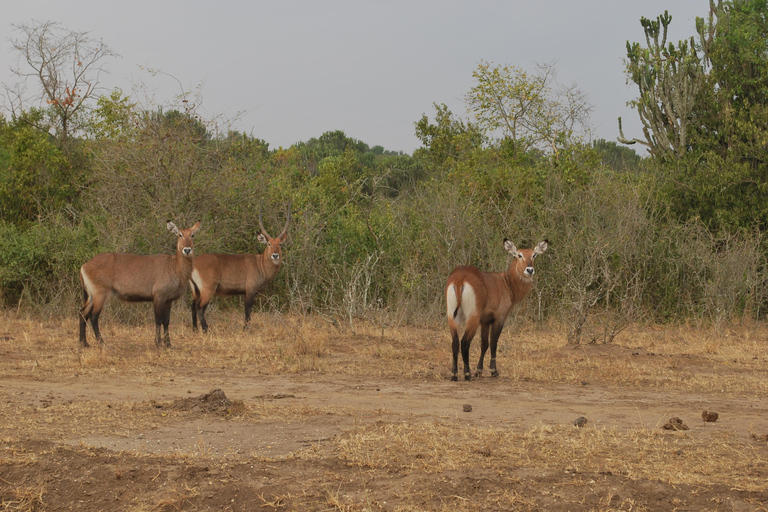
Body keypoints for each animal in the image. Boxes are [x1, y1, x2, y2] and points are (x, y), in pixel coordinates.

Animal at [79, 220, 201, 348]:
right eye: (179, 234)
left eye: (192, 235)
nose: (187, 250)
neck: (175, 267)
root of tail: (84, 266)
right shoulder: (159, 296)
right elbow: (158, 320)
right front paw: (158, 343)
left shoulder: (169, 299)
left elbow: (166, 321)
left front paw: (168, 344)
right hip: (100, 294)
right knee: (93, 316)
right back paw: (102, 342)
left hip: (91, 296)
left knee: (82, 313)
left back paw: (84, 343)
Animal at [190, 204, 290, 332]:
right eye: (269, 244)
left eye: (280, 244)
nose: (275, 255)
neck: (260, 264)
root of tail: (194, 263)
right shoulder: (250, 290)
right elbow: (247, 311)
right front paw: (245, 329)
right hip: (207, 290)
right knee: (200, 307)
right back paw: (206, 329)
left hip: (196, 290)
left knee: (193, 306)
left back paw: (195, 329)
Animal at [444, 239, 544, 380]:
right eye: (519, 255)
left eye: (534, 255)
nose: (529, 270)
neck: (507, 282)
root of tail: (460, 278)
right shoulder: (499, 318)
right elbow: (493, 342)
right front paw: (493, 371)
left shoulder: (485, 321)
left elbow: (484, 343)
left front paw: (479, 370)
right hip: (472, 317)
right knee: (464, 342)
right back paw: (467, 374)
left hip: (452, 316)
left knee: (455, 342)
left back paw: (454, 375)